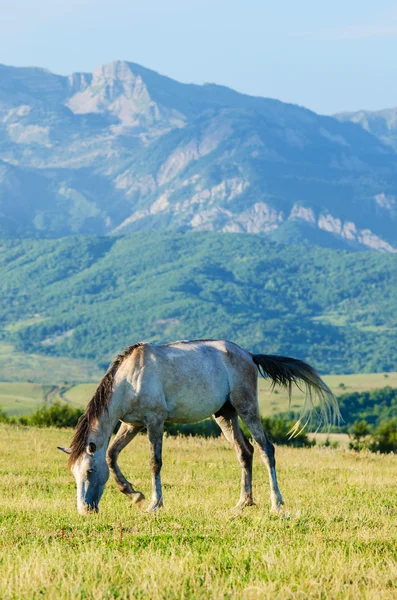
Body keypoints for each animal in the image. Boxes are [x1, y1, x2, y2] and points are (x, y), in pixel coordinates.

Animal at [58, 340, 338, 512]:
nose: (85, 510)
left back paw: (276, 504)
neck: (131, 378)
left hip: (247, 408)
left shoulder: (155, 422)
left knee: (266, 449)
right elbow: (111, 454)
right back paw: (243, 503)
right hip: (225, 415)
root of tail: (249, 355)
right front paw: (133, 494)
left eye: (90, 472)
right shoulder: (132, 425)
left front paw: (154, 504)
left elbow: (154, 462)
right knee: (244, 452)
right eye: (74, 473)